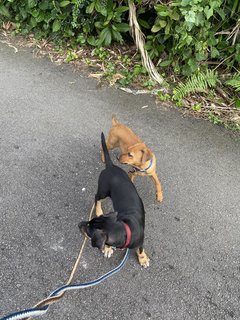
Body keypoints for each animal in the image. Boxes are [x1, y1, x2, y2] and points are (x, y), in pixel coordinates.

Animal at [79, 132, 149, 268]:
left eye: (88, 230)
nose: (79, 224)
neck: (127, 230)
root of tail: (110, 166)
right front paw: (107, 249)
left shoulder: (140, 239)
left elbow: (140, 248)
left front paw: (143, 258)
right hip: (103, 190)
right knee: (96, 197)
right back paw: (98, 210)